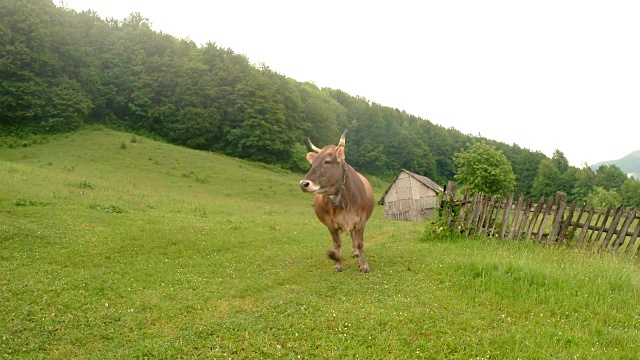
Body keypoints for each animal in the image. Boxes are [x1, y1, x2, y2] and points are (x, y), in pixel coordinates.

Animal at [300, 130, 376, 272]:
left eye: (327, 161)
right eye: (313, 163)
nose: (303, 184)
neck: (345, 202)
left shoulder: (361, 219)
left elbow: (360, 242)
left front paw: (364, 265)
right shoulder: (330, 222)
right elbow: (337, 243)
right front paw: (338, 263)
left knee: (353, 235)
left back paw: (356, 253)